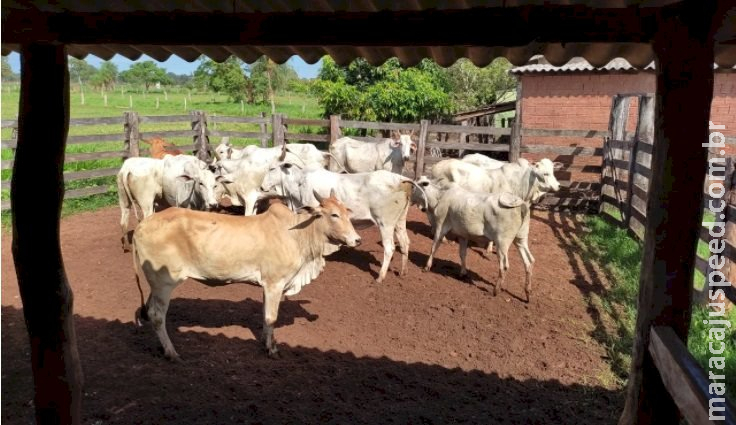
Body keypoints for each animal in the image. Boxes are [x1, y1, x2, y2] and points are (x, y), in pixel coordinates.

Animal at [134, 189, 362, 358]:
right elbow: (271, 317)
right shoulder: (275, 283)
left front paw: (265, 342)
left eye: (347, 212)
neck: (297, 233)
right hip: (164, 281)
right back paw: (171, 352)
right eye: (334, 214)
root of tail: (141, 226)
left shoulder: (267, 286)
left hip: (156, 284)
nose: (357, 239)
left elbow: (264, 315)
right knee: (157, 316)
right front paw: (272, 350)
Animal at [262, 164, 428, 284]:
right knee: (405, 243)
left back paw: (380, 277)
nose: (262, 186)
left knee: (390, 248)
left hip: (385, 223)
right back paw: (403, 271)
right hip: (400, 221)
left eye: (271, 168)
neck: (298, 184)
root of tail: (399, 178)